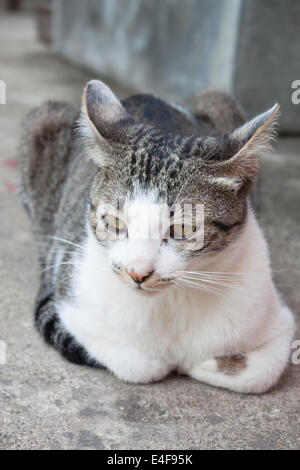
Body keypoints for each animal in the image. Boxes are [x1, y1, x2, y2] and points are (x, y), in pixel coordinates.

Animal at [18, 80, 296, 392]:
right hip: (43, 121)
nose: (137, 272)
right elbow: (138, 364)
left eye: (184, 229)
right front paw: (170, 363)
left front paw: (201, 365)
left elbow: (261, 373)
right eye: (113, 222)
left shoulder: (278, 320)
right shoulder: (71, 301)